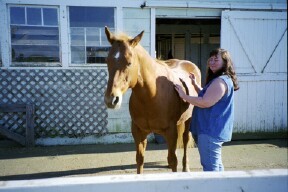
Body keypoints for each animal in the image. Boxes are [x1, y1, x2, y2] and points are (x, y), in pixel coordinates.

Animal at [103, 27, 200, 174]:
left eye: (129, 63)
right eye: (107, 61)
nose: (111, 99)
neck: (152, 95)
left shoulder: (171, 132)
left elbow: (174, 160)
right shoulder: (138, 132)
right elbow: (140, 159)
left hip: (188, 120)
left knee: (185, 139)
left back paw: (186, 167)